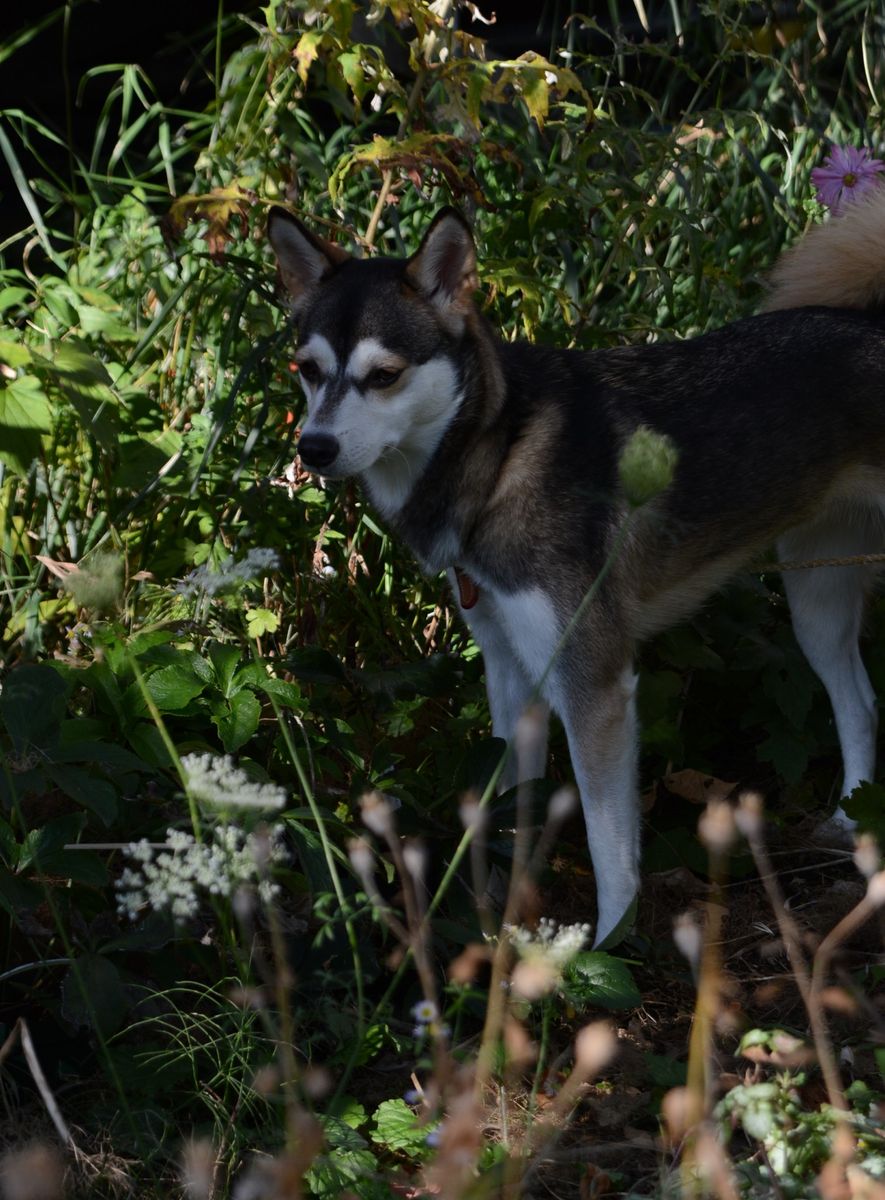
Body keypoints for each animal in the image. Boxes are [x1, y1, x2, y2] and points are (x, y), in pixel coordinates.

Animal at [263, 194, 885, 945]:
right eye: (306, 368)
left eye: (383, 375)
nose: (314, 448)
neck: (498, 455)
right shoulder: (512, 676)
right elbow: (509, 807)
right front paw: (496, 921)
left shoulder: (594, 686)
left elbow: (606, 843)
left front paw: (610, 944)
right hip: (815, 601)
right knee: (859, 703)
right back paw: (849, 819)